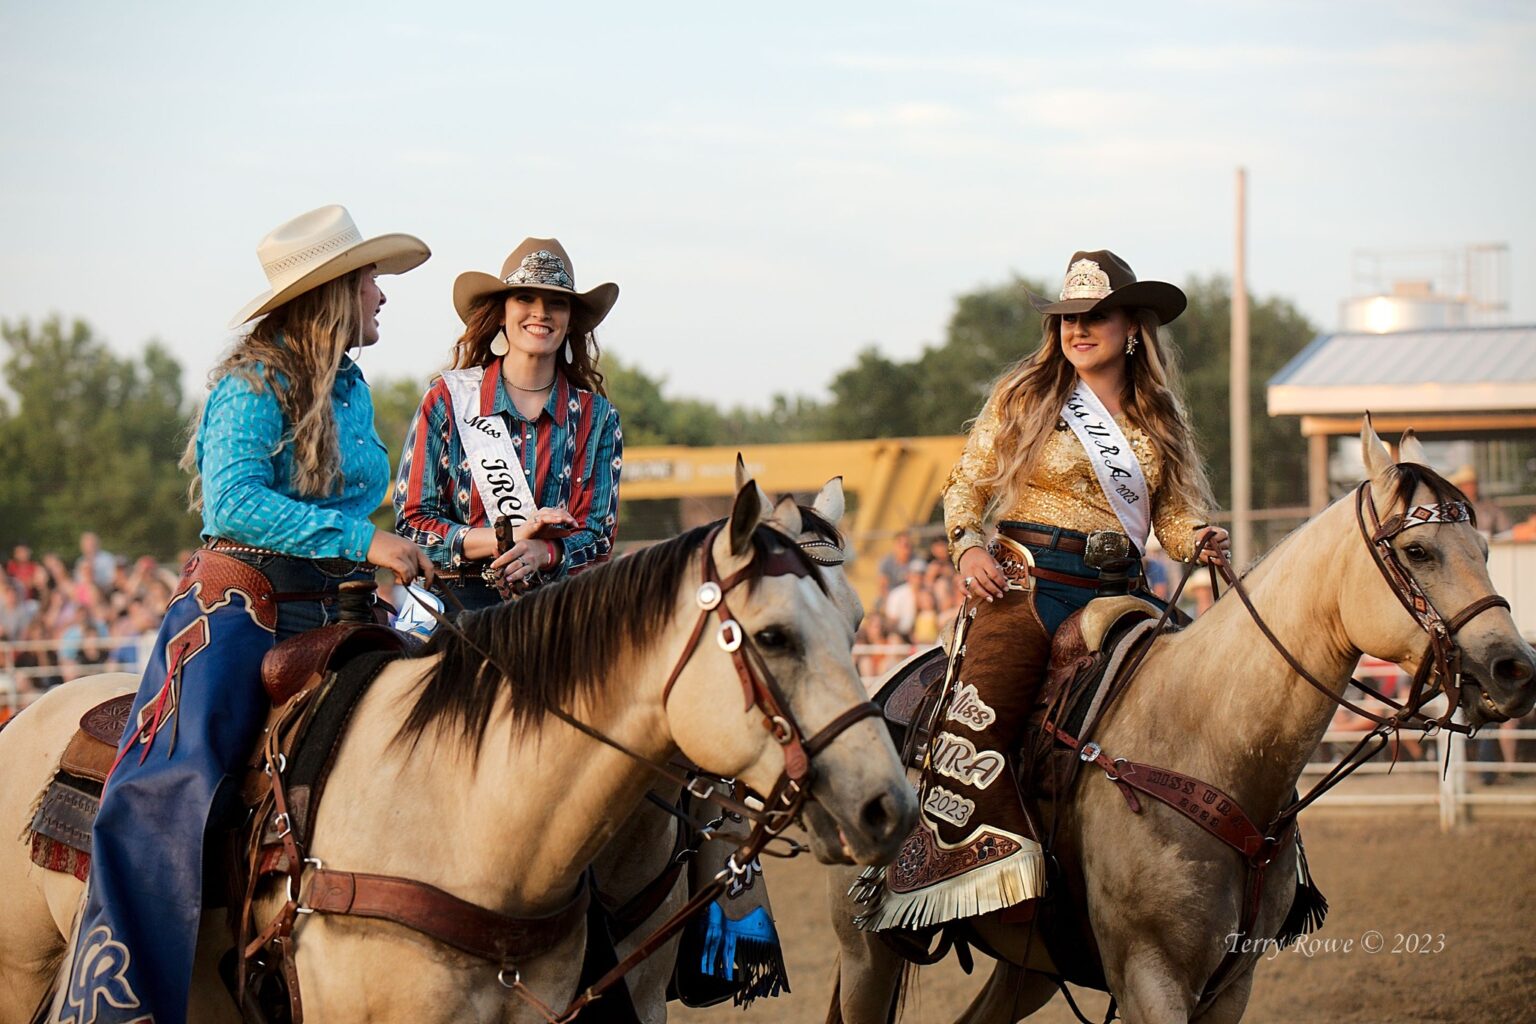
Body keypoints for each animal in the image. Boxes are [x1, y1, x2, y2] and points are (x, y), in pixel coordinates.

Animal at [829, 420, 1536, 1019]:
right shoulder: (1151, 976)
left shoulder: (1230, 985)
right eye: (1418, 550)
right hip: (867, 949)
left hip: (1028, 962)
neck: (1211, 739)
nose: (1515, 669)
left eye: (1484, 546)